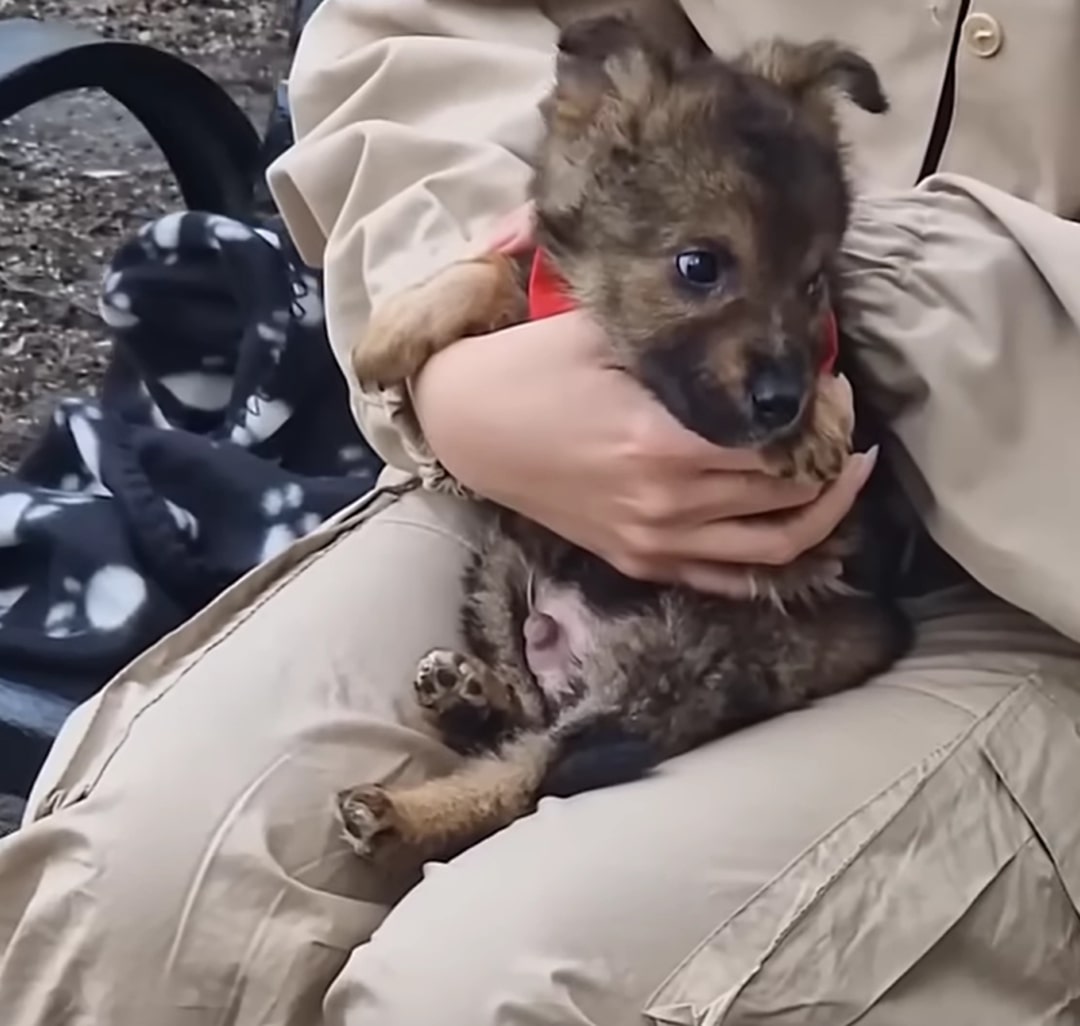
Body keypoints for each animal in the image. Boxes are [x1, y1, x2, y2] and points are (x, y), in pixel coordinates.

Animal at [336, 16, 911, 868]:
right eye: (699, 266)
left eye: (813, 284)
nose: (782, 402)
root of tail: (577, 646)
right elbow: (492, 273)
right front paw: (394, 332)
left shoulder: (817, 540)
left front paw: (817, 424)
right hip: (503, 572)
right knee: (526, 712)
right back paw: (466, 699)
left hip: (672, 675)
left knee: (528, 771)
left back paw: (401, 813)